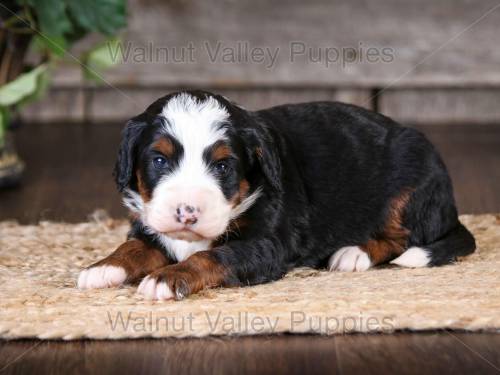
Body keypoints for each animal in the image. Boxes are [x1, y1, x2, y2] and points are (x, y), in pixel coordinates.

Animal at [76, 89, 474, 302]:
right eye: (159, 160)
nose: (187, 212)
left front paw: (167, 278)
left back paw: (352, 253)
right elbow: (133, 246)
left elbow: (213, 255)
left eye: (223, 166)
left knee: (402, 237)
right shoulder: (149, 223)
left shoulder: (267, 244)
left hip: (410, 186)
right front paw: (102, 268)